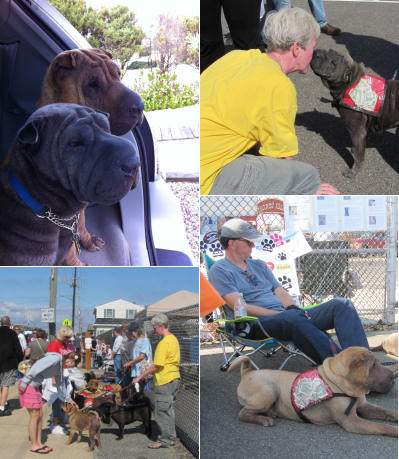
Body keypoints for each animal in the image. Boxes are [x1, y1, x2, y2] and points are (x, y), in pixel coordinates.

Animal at [312, 48, 399, 178]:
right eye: (328, 50)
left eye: (333, 63)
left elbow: (358, 155)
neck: (350, 84)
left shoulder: (357, 131)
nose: (316, 52)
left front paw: (353, 171)